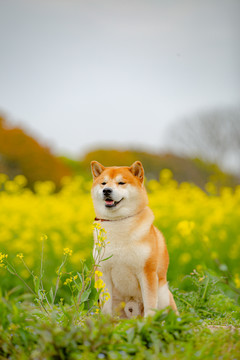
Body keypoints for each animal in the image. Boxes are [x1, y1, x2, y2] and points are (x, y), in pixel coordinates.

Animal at [91, 161, 177, 318]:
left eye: (121, 183)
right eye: (103, 183)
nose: (106, 190)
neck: (119, 222)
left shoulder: (147, 272)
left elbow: (150, 304)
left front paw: (148, 321)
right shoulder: (103, 272)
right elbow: (106, 306)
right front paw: (105, 321)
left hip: (163, 294)